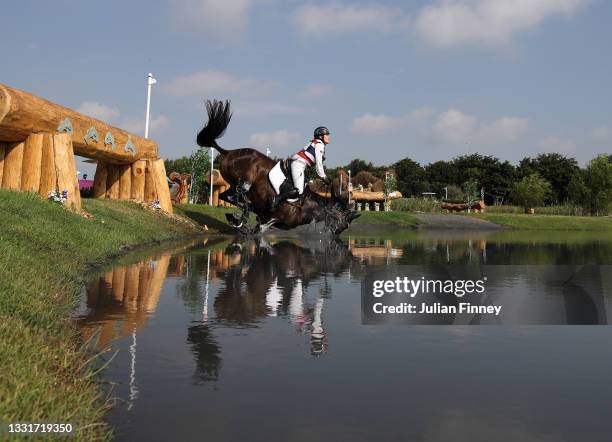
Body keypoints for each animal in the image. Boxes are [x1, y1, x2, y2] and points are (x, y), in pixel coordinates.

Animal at [196, 100, 358, 235]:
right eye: (344, 221)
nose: (336, 233)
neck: (307, 205)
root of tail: (229, 152)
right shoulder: (270, 220)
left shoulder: (267, 220)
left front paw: (237, 220)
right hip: (244, 182)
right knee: (236, 196)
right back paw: (244, 211)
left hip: (234, 184)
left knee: (227, 196)